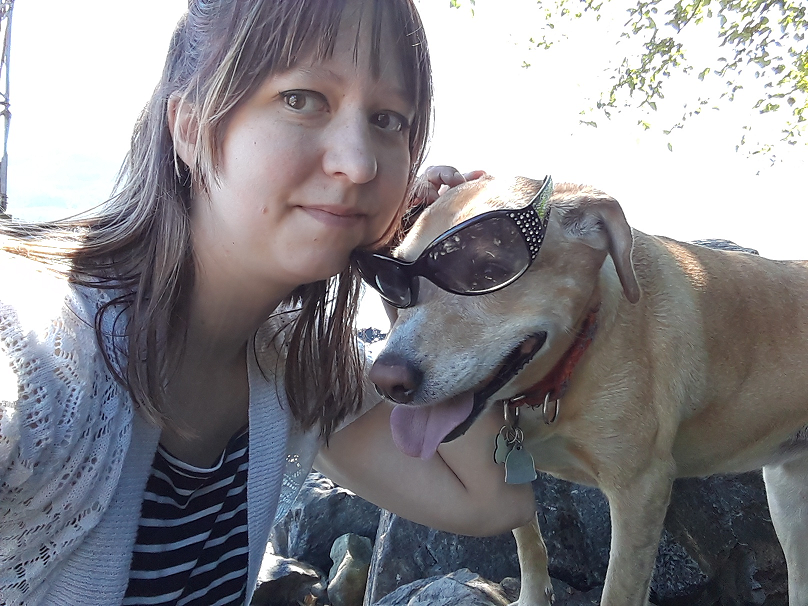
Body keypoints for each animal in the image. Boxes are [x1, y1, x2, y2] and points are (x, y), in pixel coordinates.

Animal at [358, 175, 808, 606]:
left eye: (487, 270)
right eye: (392, 288)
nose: (385, 380)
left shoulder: (640, 490)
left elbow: (618, 591)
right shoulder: (507, 467)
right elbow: (529, 544)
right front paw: (531, 598)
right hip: (786, 498)